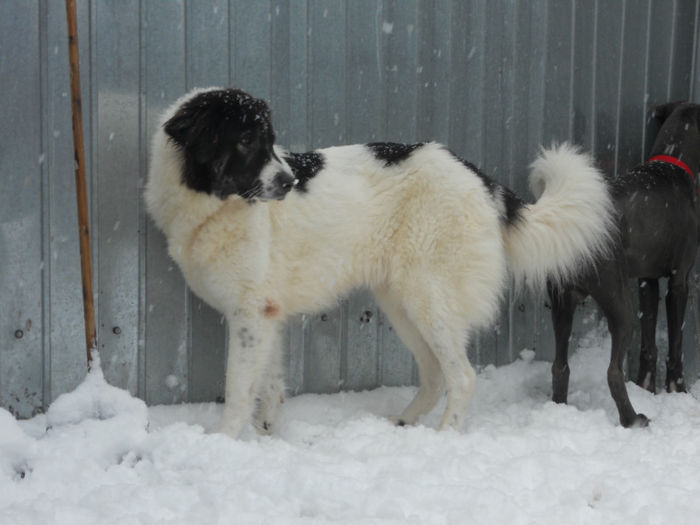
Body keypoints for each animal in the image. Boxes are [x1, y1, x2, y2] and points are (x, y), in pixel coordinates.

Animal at [146, 87, 612, 438]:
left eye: (268, 141)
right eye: (244, 141)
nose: (290, 181)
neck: (214, 205)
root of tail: (480, 177)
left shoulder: (247, 315)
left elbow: (239, 389)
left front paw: (224, 443)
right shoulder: (265, 315)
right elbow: (270, 384)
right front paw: (267, 438)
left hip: (429, 299)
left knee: (462, 376)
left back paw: (445, 437)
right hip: (401, 303)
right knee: (436, 374)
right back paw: (403, 424)